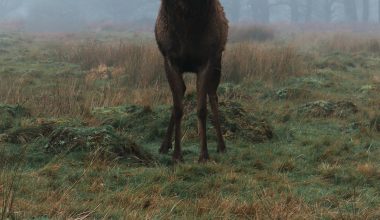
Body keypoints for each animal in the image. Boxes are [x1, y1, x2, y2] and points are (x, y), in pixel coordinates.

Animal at [154, 0, 229, 162]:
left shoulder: (207, 59)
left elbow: (201, 109)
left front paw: (204, 155)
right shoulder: (169, 59)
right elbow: (178, 109)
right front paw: (177, 156)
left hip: (218, 61)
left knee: (213, 96)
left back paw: (221, 145)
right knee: (182, 91)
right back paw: (164, 145)